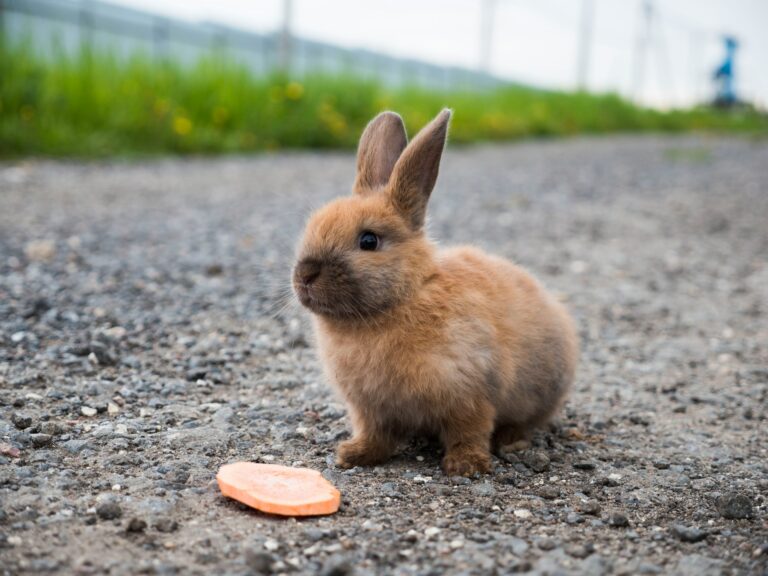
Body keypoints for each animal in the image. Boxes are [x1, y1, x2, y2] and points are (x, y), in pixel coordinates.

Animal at [292, 109, 580, 476]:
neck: (405, 295)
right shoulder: (370, 409)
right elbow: (375, 435)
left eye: (369, 240)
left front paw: (466, 466)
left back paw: (511, 441)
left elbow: (468, 431)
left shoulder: (471, 394)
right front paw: (353, 455)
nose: (305, 275)